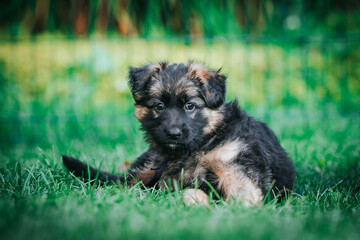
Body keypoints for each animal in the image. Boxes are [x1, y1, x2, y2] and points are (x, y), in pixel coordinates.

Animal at [63, 62, 296, 206]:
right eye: (159, 106)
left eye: (190, 106)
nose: (173, 134)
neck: (201, 145)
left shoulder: (235, 162)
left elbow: (242, 186)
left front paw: (242, 206)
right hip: (149, 165)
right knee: (125, 183)